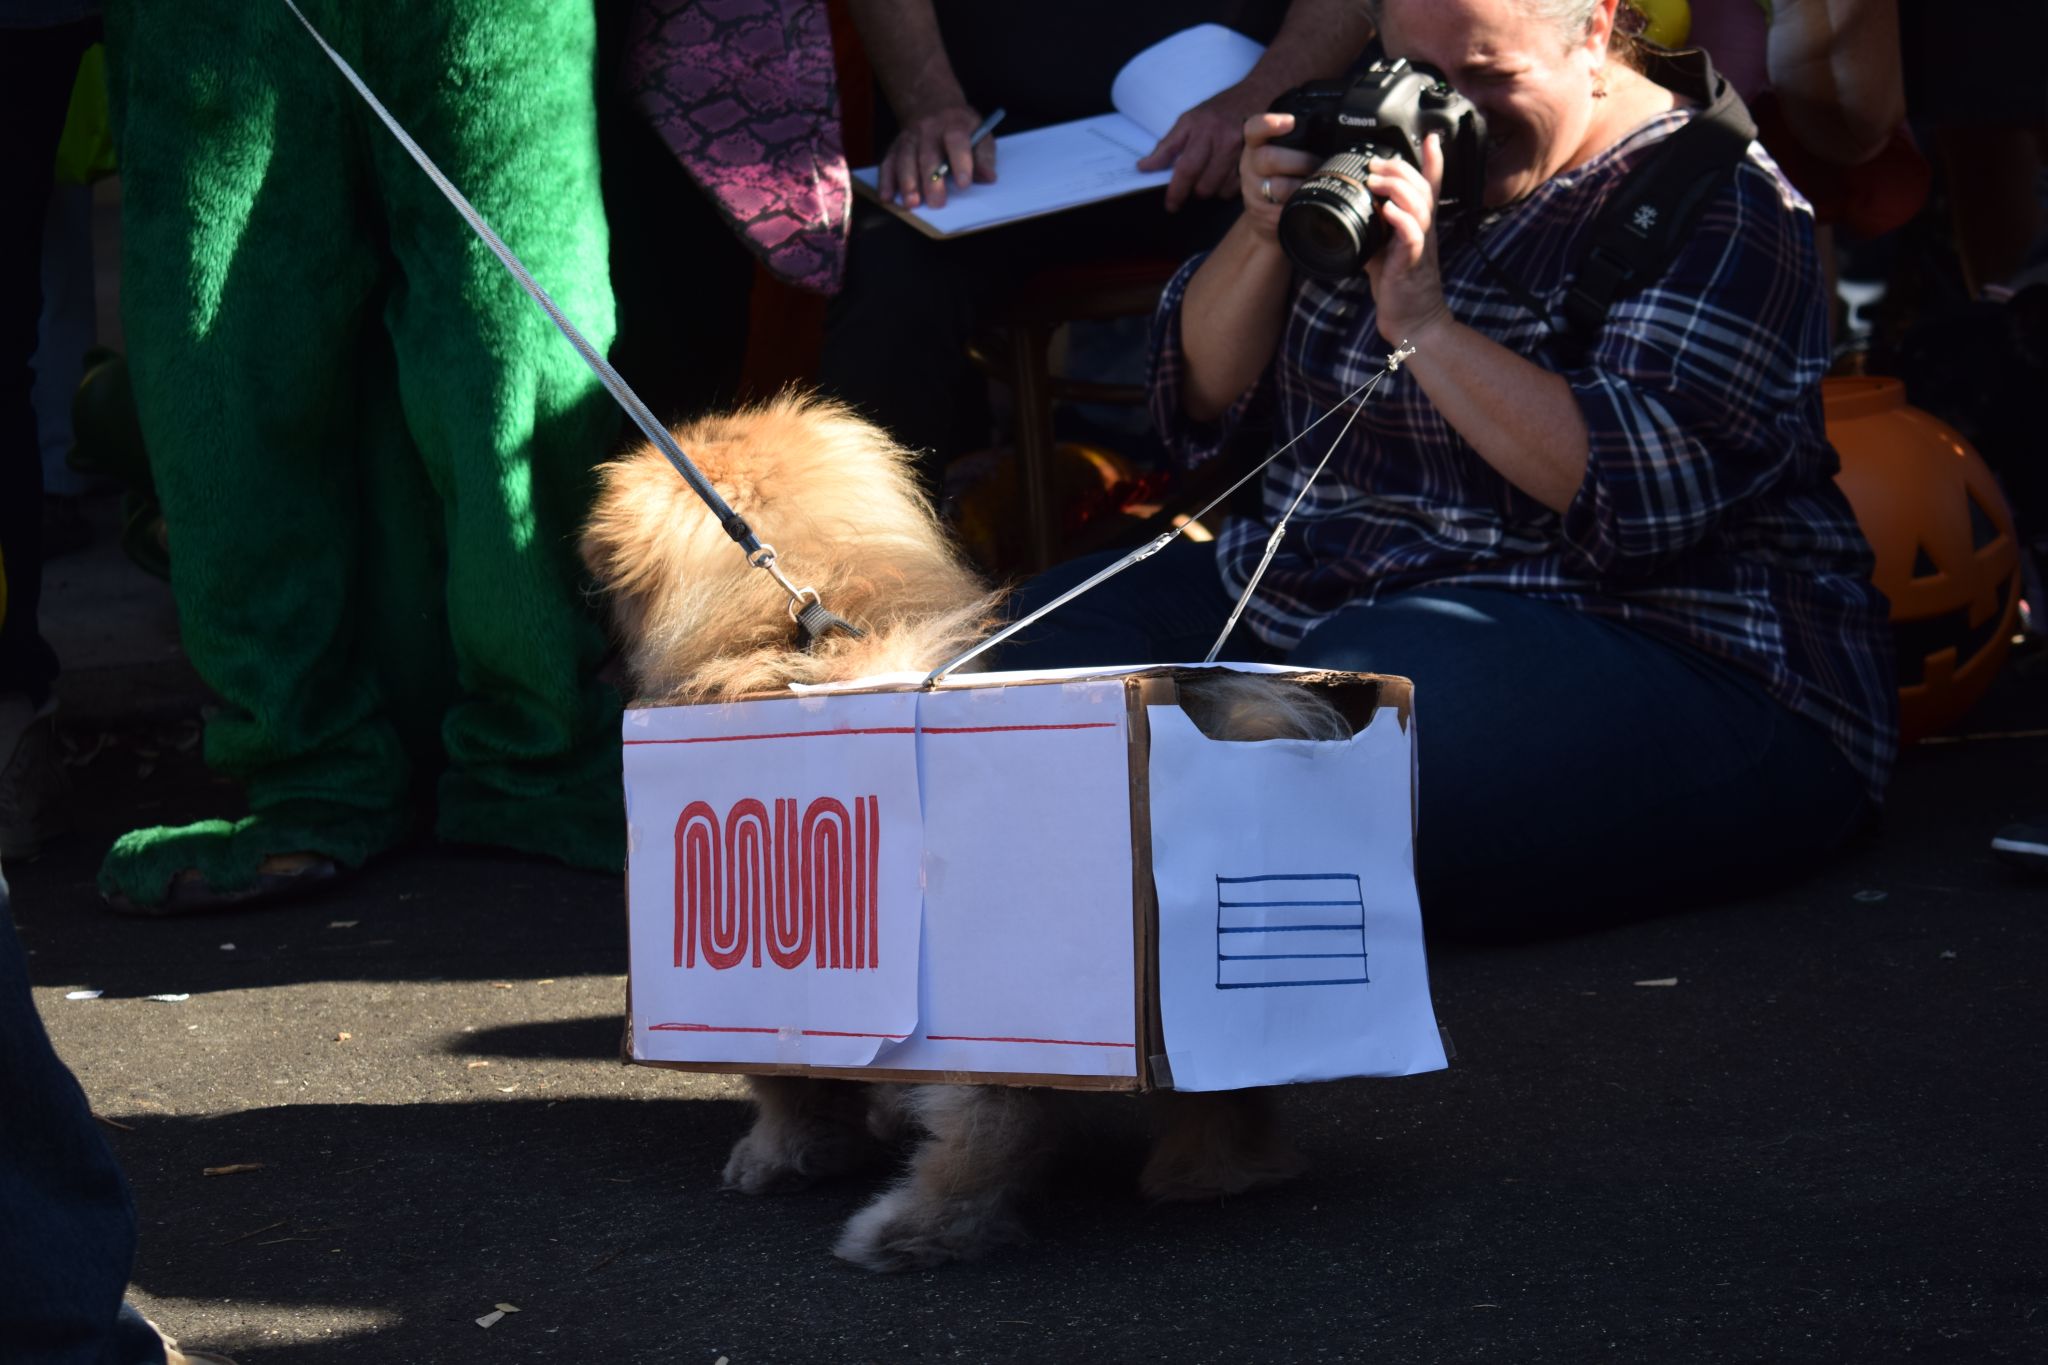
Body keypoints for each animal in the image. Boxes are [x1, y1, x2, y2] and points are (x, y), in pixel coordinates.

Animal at [581, 401, 1343, 1277]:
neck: (801, 632)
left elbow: (788, 1089)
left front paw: (779, 1155)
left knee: (994, 1127)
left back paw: (913, 1228)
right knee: (1229, 1086)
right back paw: (1213, 1174)